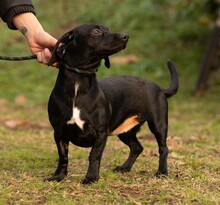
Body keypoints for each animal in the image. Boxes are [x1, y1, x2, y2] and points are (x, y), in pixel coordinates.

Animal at [46, 23, 179, 184]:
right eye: (96, 31)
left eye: (108, 29)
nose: (125, 36)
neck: (78, 85)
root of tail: (160, 88)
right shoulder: (59, 132)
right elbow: (63, 157)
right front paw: (58, 176)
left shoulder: (100, 133)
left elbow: (94, 156)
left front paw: (91, 178)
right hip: (126, 132)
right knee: (137, 147)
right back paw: (124, 168)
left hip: (158, 124)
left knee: (163, 148)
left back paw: (162, 172)